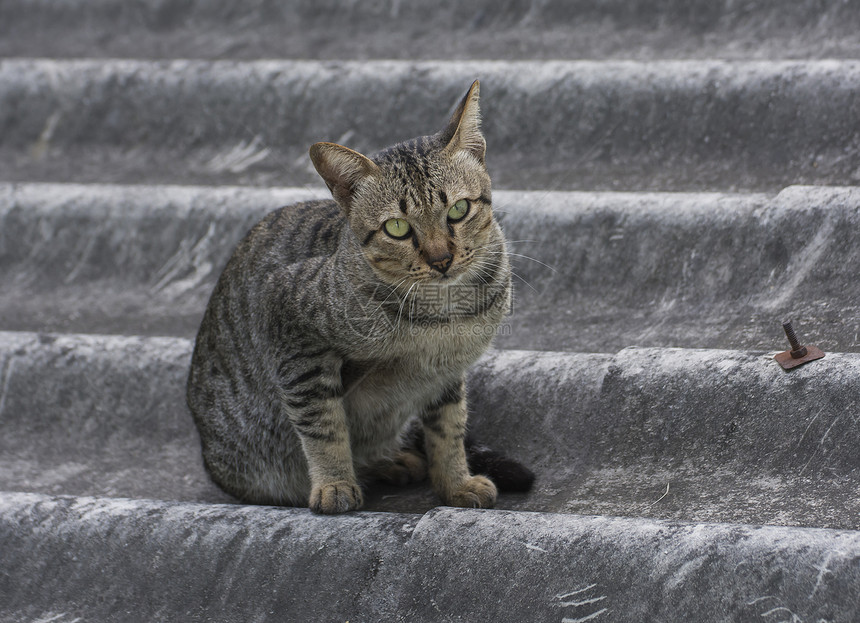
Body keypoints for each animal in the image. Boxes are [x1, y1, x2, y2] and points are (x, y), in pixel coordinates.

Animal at [186, 80, 532, 516]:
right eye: (397, 228)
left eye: (458, 209)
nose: (441, 259)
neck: (443, 311)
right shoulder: (290, 329)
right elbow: (324, 426)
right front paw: (334, 484)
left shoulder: (447, 371)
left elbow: (448, 430)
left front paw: (455, 484)